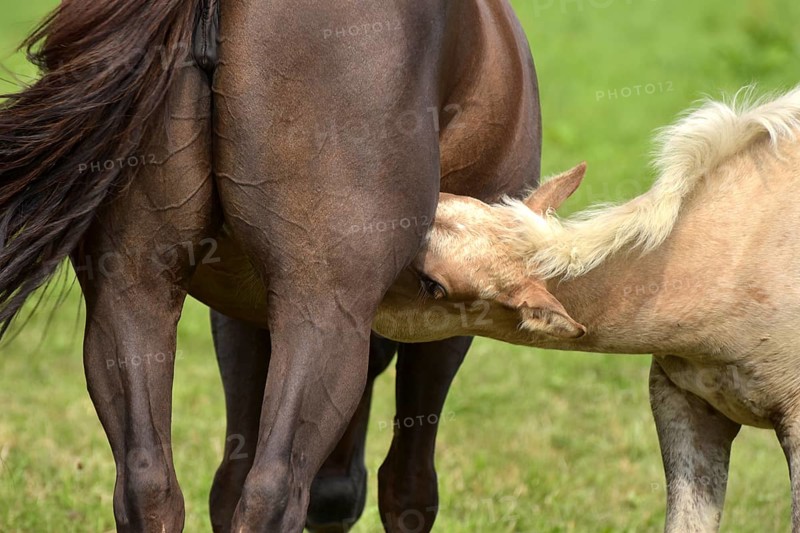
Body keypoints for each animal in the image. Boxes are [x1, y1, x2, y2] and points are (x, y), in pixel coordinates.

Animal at [0, 0, 541, 531]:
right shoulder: (450, 323)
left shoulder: (243, 313)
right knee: (274, 489)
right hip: (320, 314)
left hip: (133, 294)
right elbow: (408, 488)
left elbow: (227, 484)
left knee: (149, 485)